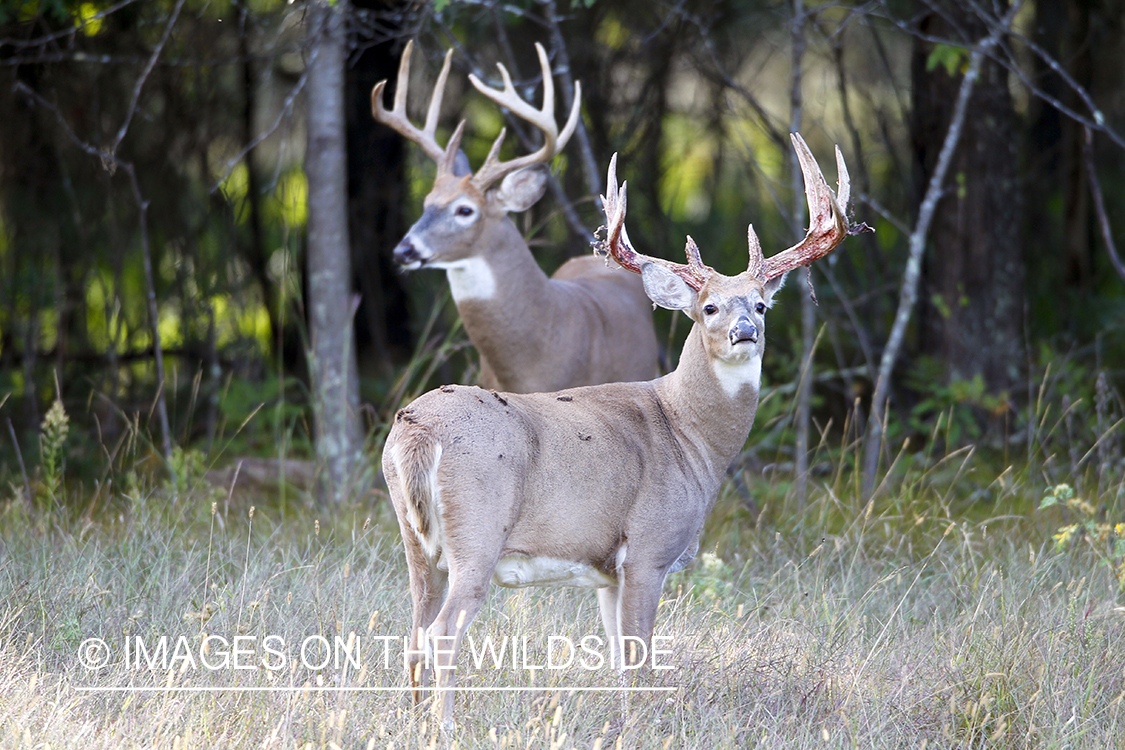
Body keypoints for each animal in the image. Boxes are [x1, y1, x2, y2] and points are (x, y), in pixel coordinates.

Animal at [382, 136, 855, 728]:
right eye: (709, 307)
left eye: (762, 304)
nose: (745, 331)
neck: (690, 436)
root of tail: (416, 432)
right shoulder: (650, 548)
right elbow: (640, 656)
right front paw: (646, 724)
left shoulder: (607, 571)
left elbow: (616, 658)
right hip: (478, 531)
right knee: (442, 631)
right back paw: (446, 724)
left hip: (417, 542)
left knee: (412, 632)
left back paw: (412, 718)